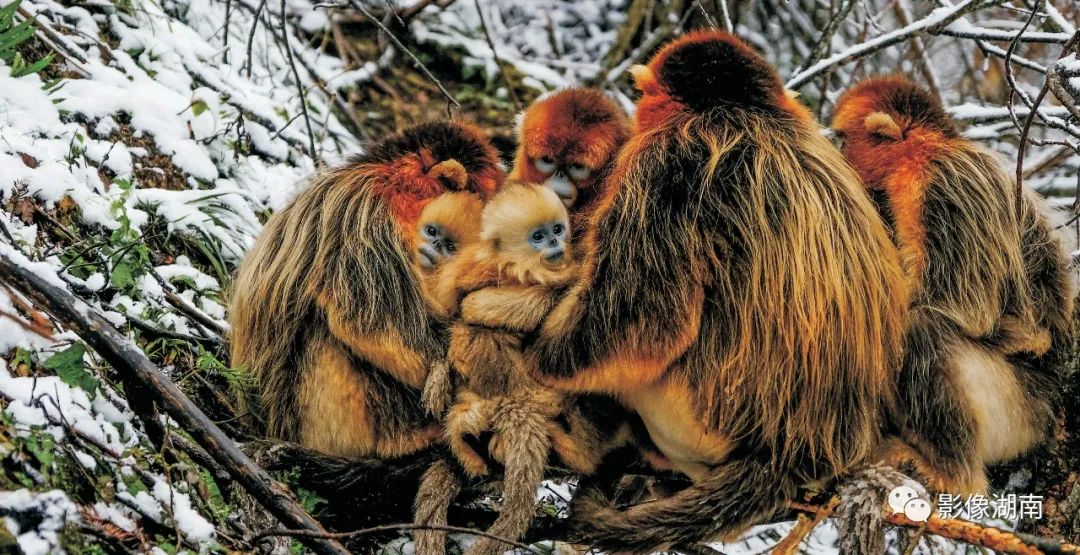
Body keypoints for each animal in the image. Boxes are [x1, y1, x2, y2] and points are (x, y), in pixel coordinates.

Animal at [460, 31, 907, 548]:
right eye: (547, 161)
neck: (742, 113)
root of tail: (794, 457)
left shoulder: (666, 164)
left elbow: (641, 325)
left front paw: (529, 356)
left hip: (685, 422)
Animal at [829, 74, 1075, 492]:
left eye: (845, 139)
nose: (840, 156)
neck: (923, 151)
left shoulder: (947, 183)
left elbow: (965, 308)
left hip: (1019, 412)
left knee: (922, 329)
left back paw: (951, 472)